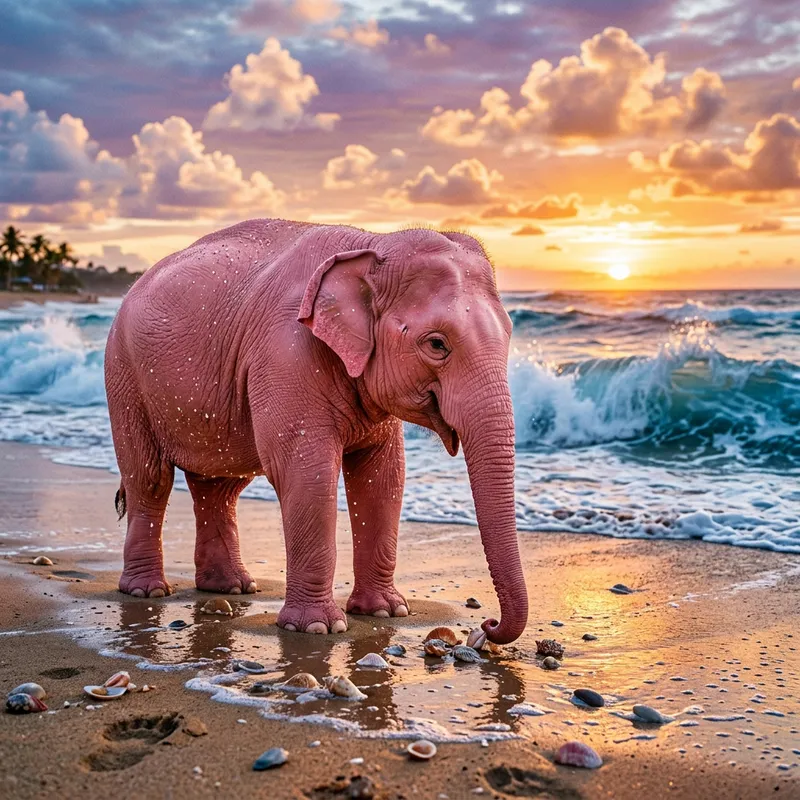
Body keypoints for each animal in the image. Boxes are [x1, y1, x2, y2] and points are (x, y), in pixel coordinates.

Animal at [104, 219, 528, 643]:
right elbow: (307, 472)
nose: (487, 625)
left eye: (510, 335)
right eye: (437, 344)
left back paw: (233, 587)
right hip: (124, 378)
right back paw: (148, 591)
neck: (373, 243)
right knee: (149, 478)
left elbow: (384, 477)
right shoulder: (286, 354)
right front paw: (318, 627)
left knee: (219, 487)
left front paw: (386, 612)